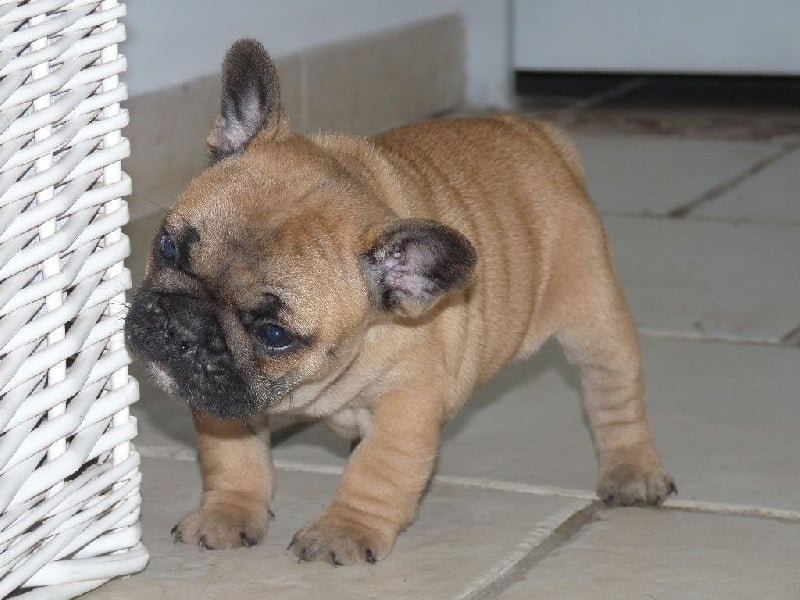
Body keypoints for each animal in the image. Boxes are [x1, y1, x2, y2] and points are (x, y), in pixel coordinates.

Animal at [125, 38, 675, 565]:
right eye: (168, 248)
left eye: (274, 334)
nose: (185, 327)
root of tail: (537, 135)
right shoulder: (221, 399)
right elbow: (233, 457)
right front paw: (228, 512)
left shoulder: (406, 405)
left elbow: (378, 469)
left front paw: (345, 530)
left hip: (594, 313)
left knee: (614, 394)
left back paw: (633, 472)